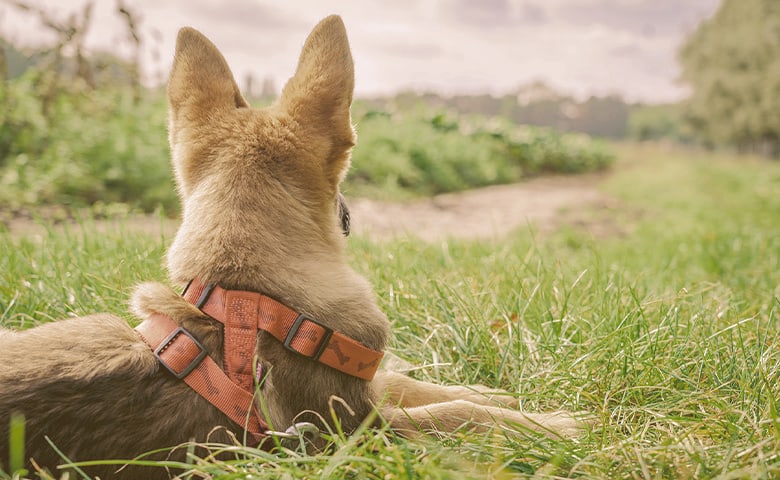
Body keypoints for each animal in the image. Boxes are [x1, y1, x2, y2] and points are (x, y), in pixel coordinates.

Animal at [0, 15, 580, 480]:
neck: (246, 294)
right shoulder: (354, 434)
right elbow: (447, 417)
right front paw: (549, 425)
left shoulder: (365, 395)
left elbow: (408, 382)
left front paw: (492, 395)